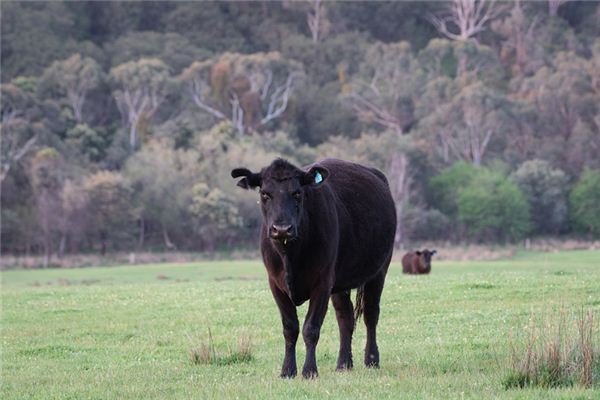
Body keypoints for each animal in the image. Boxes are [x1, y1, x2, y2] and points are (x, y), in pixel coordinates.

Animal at [232, 157, 396, 378]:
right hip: (340, 281)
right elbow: (290, 328)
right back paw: (343, 363)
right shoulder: (275, 284)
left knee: (371, 314)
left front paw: (309, 371)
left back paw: (371, 359)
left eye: (297, 193)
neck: (290, 256)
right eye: (265, 194)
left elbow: (311, 328)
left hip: (379, 271)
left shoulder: (322, 282)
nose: (282, 229)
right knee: (345, 317)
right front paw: (287, 370)